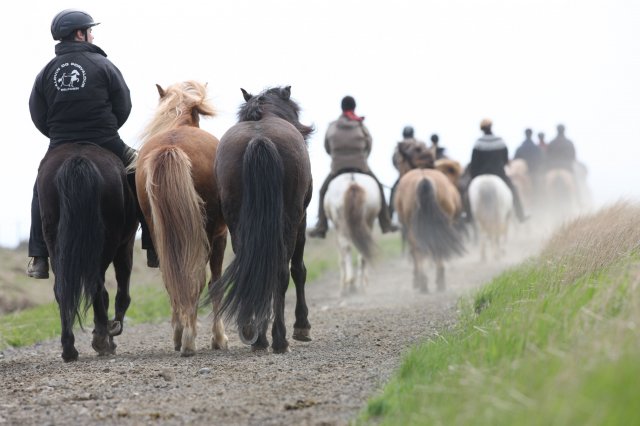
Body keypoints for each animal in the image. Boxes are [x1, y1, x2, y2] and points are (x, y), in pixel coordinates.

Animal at [37, 144, 139, 362]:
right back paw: (102, 338)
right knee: (99, 288)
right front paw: (112, 333)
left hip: (55, 243)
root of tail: (78, 159)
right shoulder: (126, 245)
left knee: (62, 289)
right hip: (108, 246)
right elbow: (122, 294)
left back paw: (69, 349)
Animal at [136, 81, 229, 358]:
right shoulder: (220, 236)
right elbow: (216, 283)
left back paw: (180, 335)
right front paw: (219, 338)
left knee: (173, 278)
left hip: (159, 233)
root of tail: (171, 147)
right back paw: (189, 339)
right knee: (196, 278)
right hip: (206, 234)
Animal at [210, 86, 316, 352]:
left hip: (237, 222)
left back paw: (256, 335)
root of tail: (259, 140)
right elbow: (299, 270)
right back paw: (279, 339)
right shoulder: (302, 220)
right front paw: (302, 327)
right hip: (290, 220)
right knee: (281, 273)